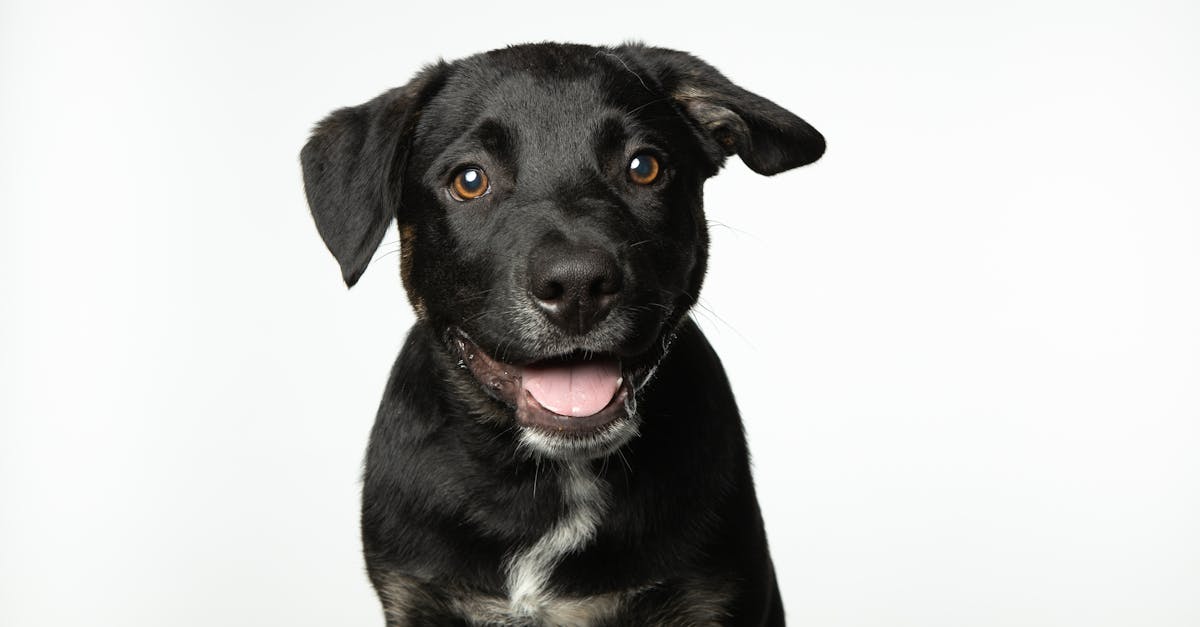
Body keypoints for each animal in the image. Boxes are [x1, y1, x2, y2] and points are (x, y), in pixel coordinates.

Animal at [300, 41, 825, 619]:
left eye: (644, 167)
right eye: (469, 180)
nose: (577, 286)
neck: (551, 480)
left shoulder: (709, 592)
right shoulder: (416, 591)